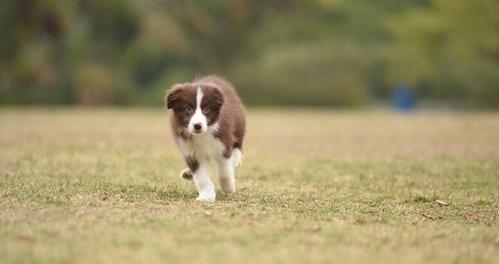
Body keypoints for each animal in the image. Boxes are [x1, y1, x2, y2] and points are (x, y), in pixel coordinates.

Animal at [165, 75, 245, 203]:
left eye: (206, 109)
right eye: (188, 109)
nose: (197, 125)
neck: (202, 134)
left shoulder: (223, 141)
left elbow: (225, 170)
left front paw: (228, 187)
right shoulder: (190, 151)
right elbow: (201, 176)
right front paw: (206, 197)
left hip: (239, 124)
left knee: (238, 145)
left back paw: (236, 161)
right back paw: (188, 173)